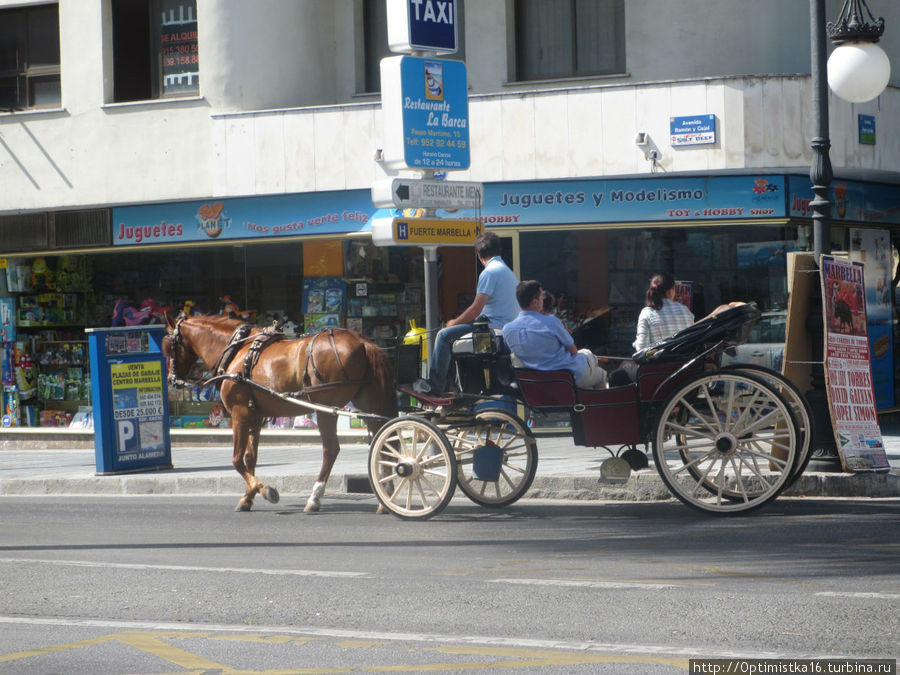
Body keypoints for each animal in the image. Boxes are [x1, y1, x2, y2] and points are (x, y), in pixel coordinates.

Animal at [165, 314, 398, 516]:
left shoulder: (240, 414)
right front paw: (248, 497)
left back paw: (314, 498)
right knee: (385, 443)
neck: (238, 351)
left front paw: (265, 490)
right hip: (368, 406)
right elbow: (250, 458)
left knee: (331, 450)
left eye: (168, 347)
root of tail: (364, 343)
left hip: (326, 408)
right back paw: (385, 499)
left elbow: (237, 460)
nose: (171, 380)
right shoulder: (255, 416)